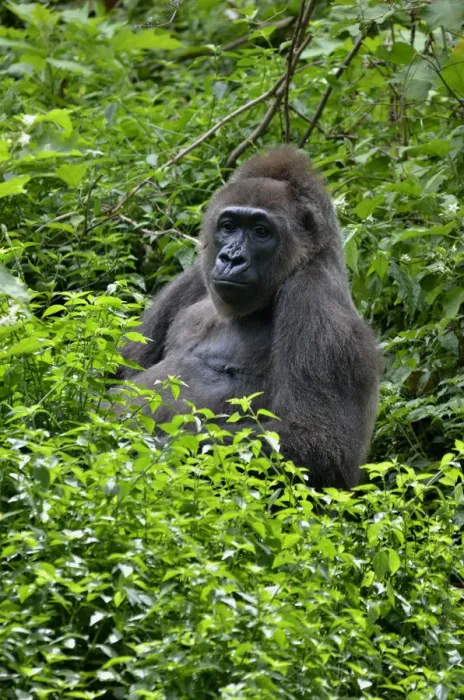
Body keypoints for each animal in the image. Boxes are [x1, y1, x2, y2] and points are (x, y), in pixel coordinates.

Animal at [116, 147, 381, 489]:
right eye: (228, 226)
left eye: (261, 232)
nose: (231, 258)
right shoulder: (192, 278)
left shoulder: (314, 299)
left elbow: (320, 444)